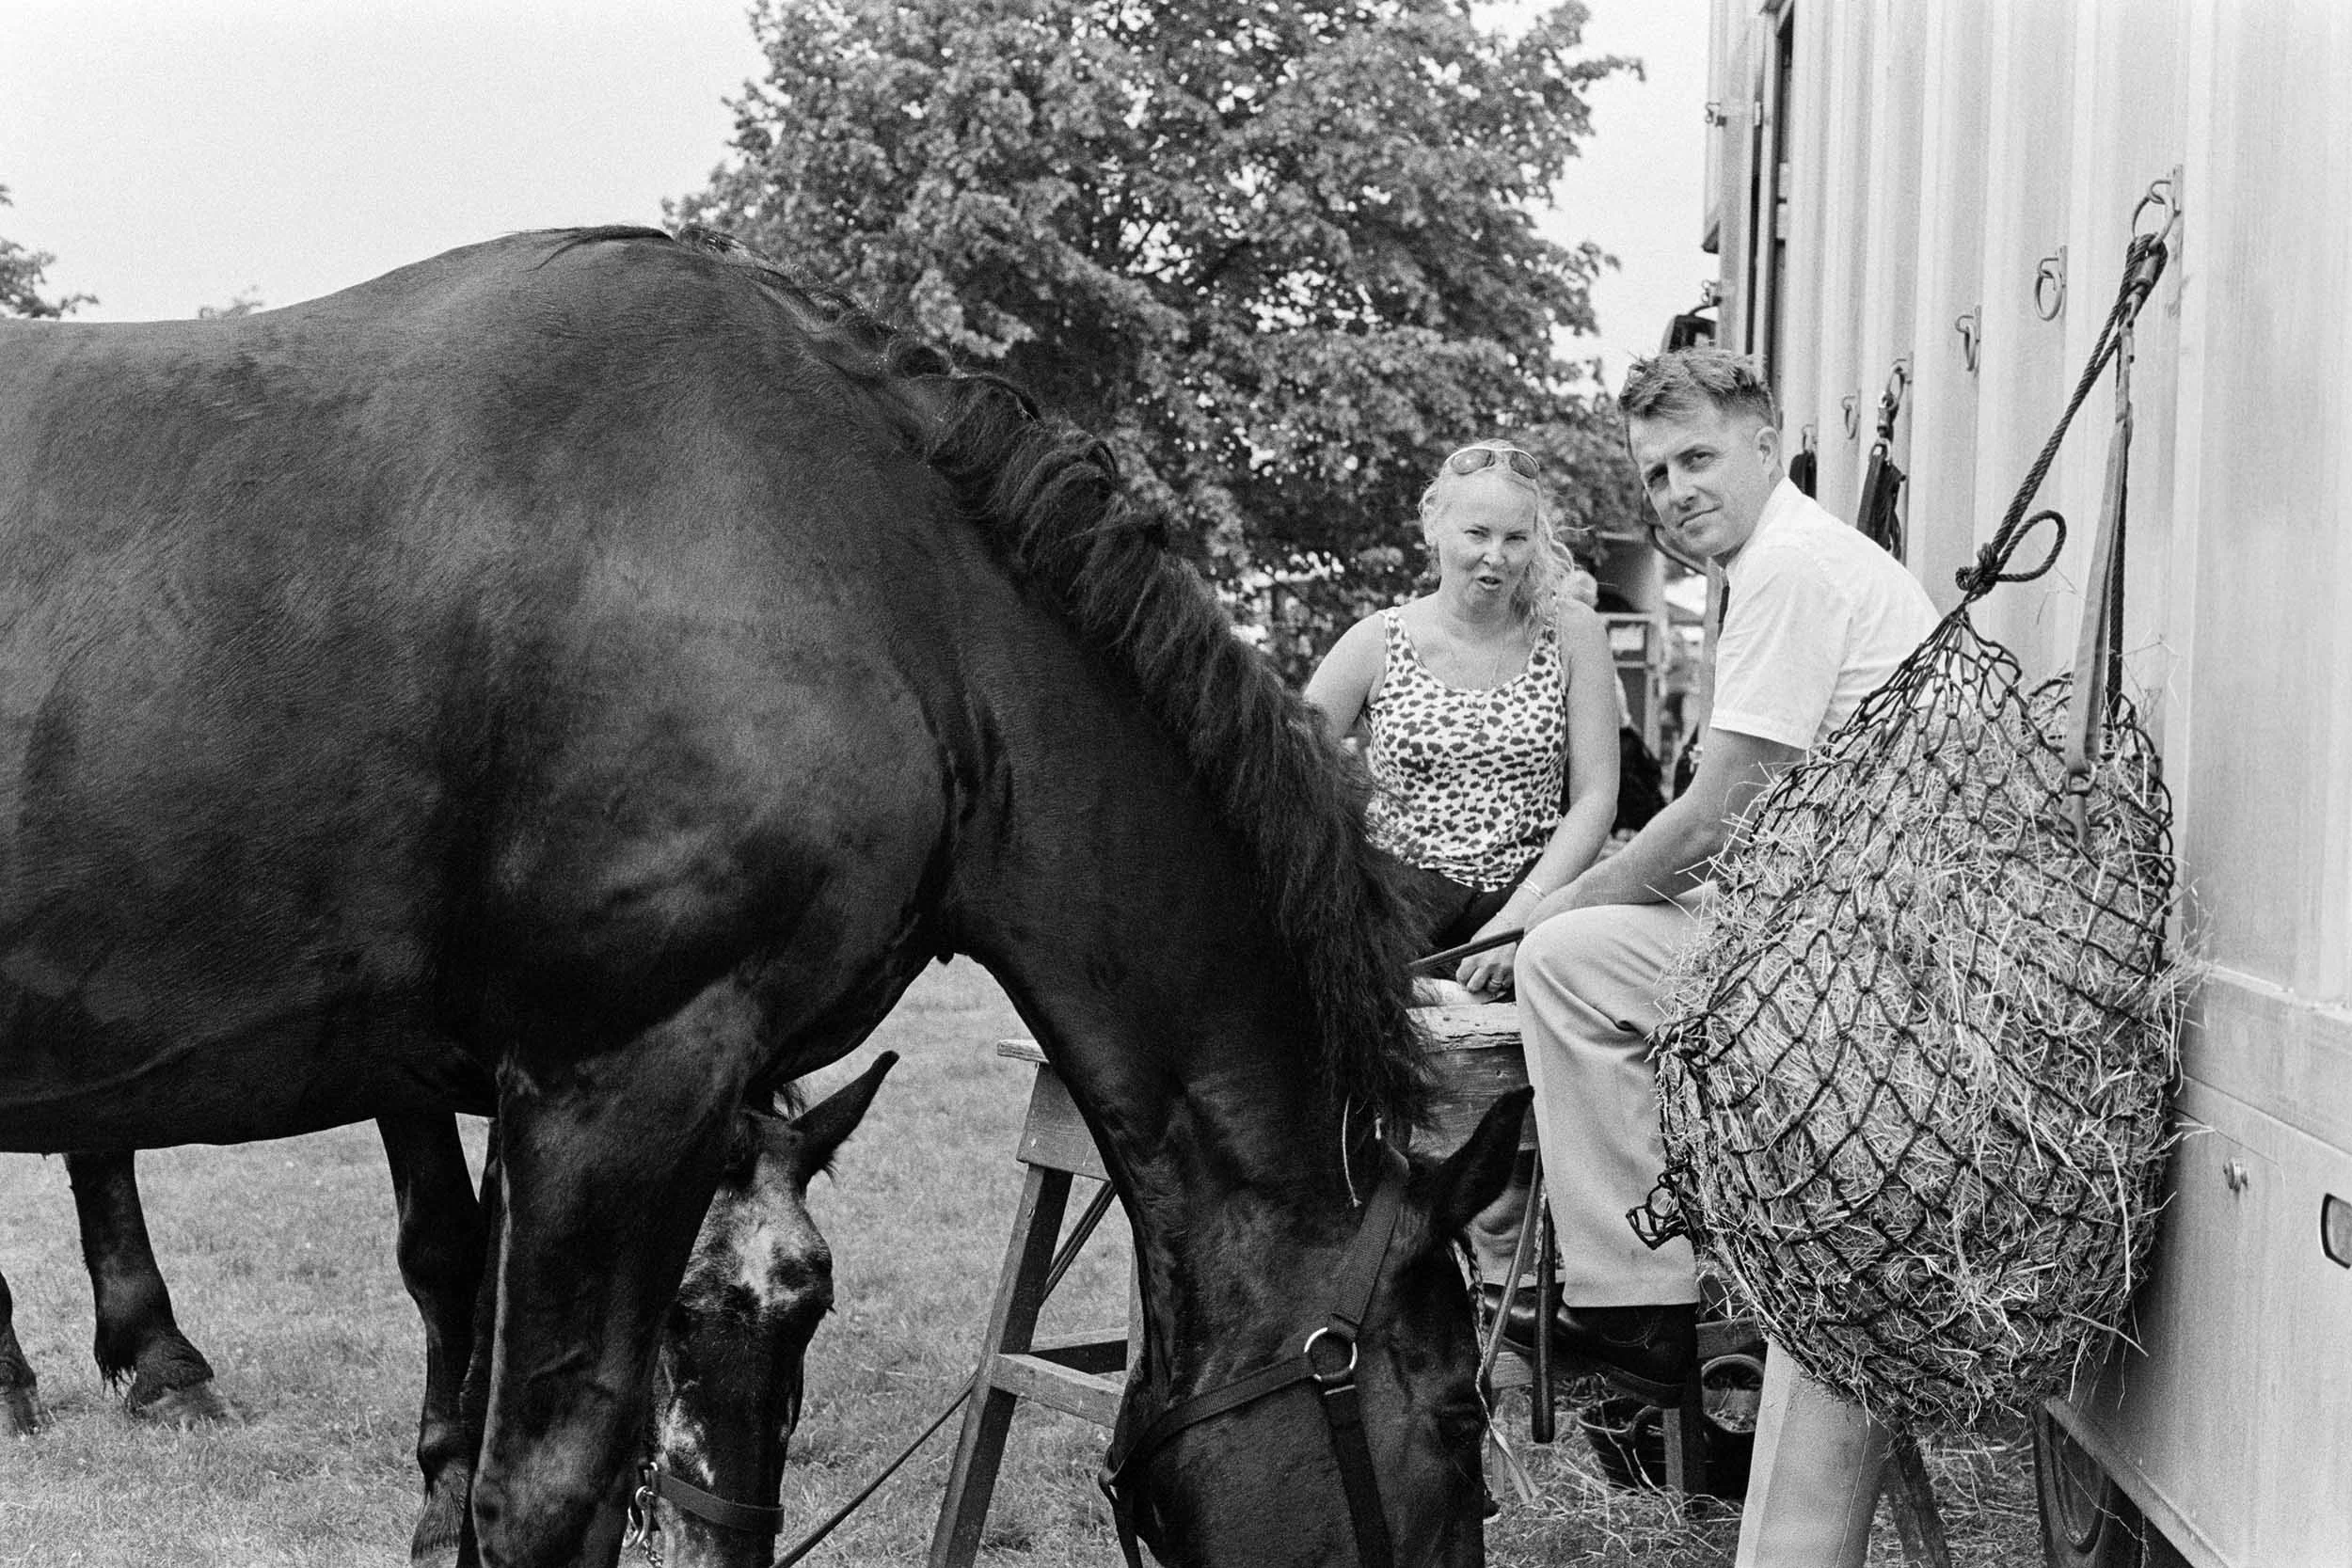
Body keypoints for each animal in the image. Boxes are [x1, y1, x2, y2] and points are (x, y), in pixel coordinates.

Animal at [0, 1054, 895, 1568]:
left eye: (817, 1308)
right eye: (668, 1312)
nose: (723, 1554)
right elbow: (443, 1245)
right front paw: (448, 1500)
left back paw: (163, 1361)